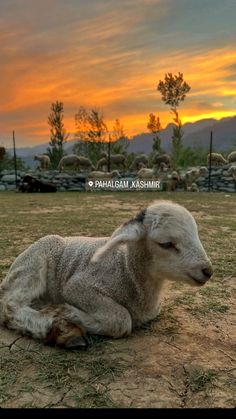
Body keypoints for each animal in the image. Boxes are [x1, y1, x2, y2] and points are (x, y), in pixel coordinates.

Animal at [0, 200, 213, 348]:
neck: (126, 268)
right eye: (166, 244)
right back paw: (63, 330)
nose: (208, 271)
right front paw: (63, 312)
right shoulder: (77, 286)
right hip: (33, 264)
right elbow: (122, 320)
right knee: (9, 305)